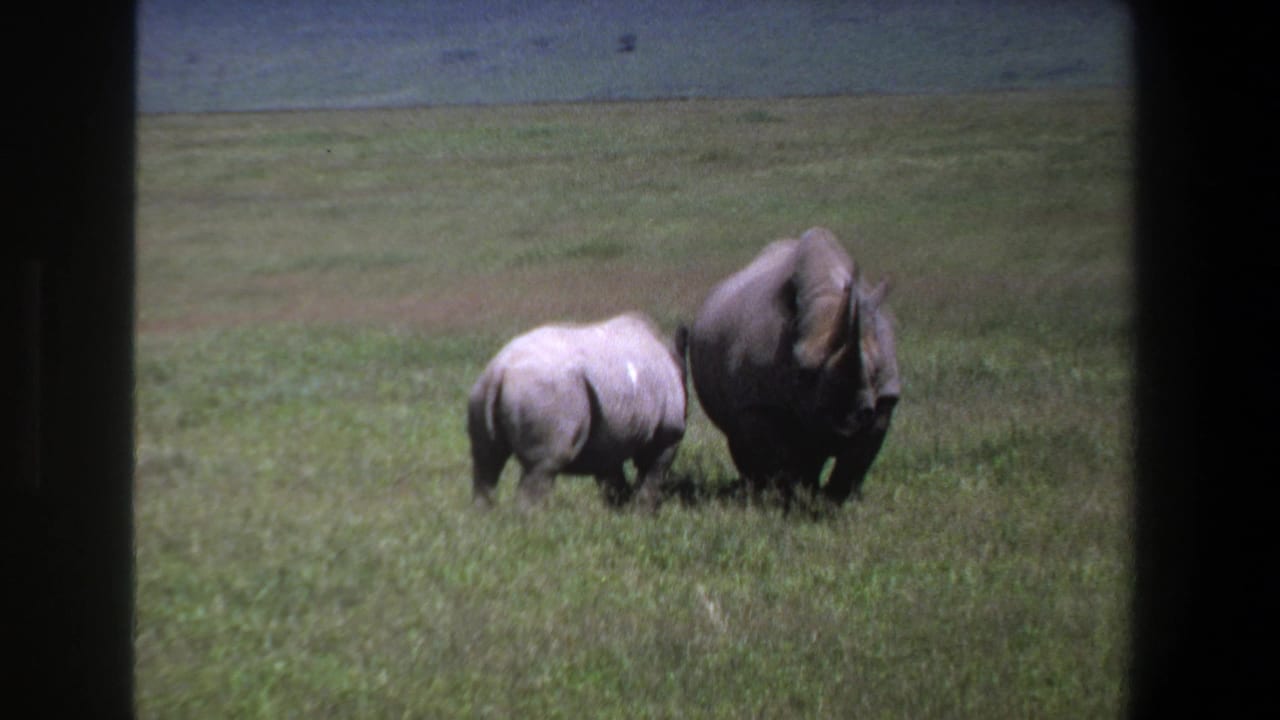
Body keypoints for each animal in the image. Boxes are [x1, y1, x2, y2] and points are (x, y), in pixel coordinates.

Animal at [467, 312, 689, 511]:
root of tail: (500, 370)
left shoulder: (609, 437)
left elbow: (613, 481)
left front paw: (618, 516)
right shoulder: (669, 434)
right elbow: (651, 477)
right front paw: (641, 516)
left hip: (482, 391)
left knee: (486, 462)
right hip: (546, 392)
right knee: (543, 466)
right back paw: (535, 525)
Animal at [689, 227, 900, 506]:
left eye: (875, 372)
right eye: (802, 373)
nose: (848, 421)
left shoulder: (884, 398)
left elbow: (855, 461)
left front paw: (835, 502)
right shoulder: (760, 403)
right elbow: (780, 458)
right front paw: (787, 501)